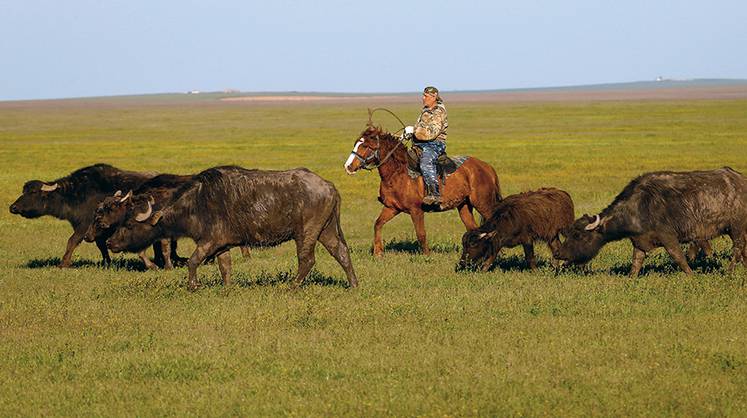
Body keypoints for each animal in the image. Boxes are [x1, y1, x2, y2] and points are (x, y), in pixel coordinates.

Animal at [8, 164, 158, 268]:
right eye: (23, 191)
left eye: (33, 192)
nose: (13, 207)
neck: (76, 194)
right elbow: (101, 245)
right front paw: (107, 263)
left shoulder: (85, 226)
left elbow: (72, 241)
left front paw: (63, 264)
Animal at [107, 165, 360, 290]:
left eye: (128, 223)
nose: (110, 242)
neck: (197, 203)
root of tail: (328, 185)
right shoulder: (223, 246)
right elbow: (225, 268)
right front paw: (228, 289)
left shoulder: (208, 242)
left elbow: (192, 261)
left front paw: (193, 286)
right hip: (325, 230)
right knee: (341, 252)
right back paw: (354, 285)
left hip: (306, 233)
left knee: (306, 260)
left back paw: (291, 287)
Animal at [344, 124, 502, 255]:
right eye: (356, 144)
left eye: (365, 146)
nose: (348, 167)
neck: (398, 173)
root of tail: (487, 167)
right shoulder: (392, 208)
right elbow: (377, 224)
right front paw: (378, 253)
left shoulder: (416, 211)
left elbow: (421, 234)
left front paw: (427, 255)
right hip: (464, 206)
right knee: (474, 229)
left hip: (483, 204)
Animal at [556, 168, 747, 276]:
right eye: (569, 234)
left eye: (578, 235)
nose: (558, 253)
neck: (640, 206)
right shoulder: (639, 242)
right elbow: (636, 263)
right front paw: (630, 280)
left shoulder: (668, 237)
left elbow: (679, 258)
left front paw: (691, 276)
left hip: (736, 228)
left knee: (737, 249)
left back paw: (729, 273)